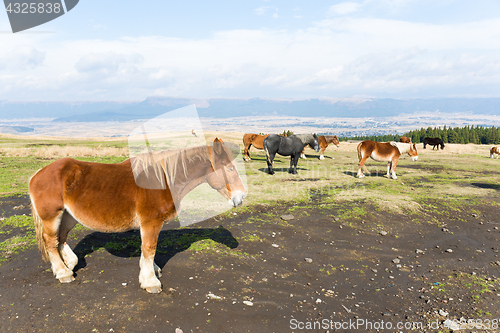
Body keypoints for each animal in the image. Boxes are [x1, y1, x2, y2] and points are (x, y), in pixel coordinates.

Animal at [28, 137, 245, 294]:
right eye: (230, 168)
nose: (241, 197)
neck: (163, 179)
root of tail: (38, 174)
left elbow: (147, 251)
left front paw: (152, 271)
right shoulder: (151, 222)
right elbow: (149, 249)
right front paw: (151, 282)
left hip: (68, 216)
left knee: (61, 238)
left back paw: (70, 263)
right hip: (52, 216)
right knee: (51, 241)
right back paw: (63, 272)